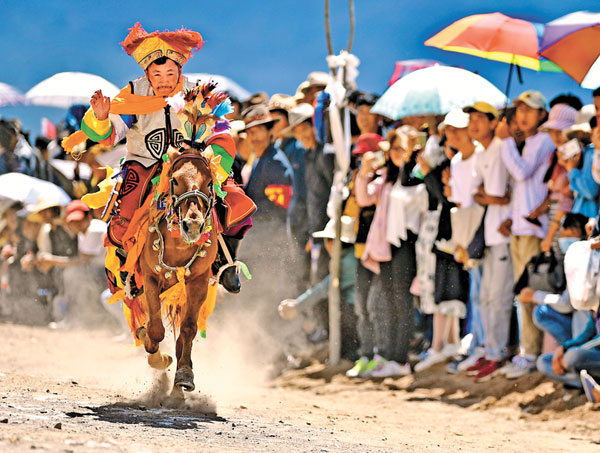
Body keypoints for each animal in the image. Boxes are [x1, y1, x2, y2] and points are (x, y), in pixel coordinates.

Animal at [134, 147, 218, 390]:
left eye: (210, 181)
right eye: (175, 180)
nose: (193, 226)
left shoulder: (198, 281)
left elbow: (188, 328)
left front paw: (185, 373)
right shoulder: (150, 278)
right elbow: (155, 330)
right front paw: (159, 357)